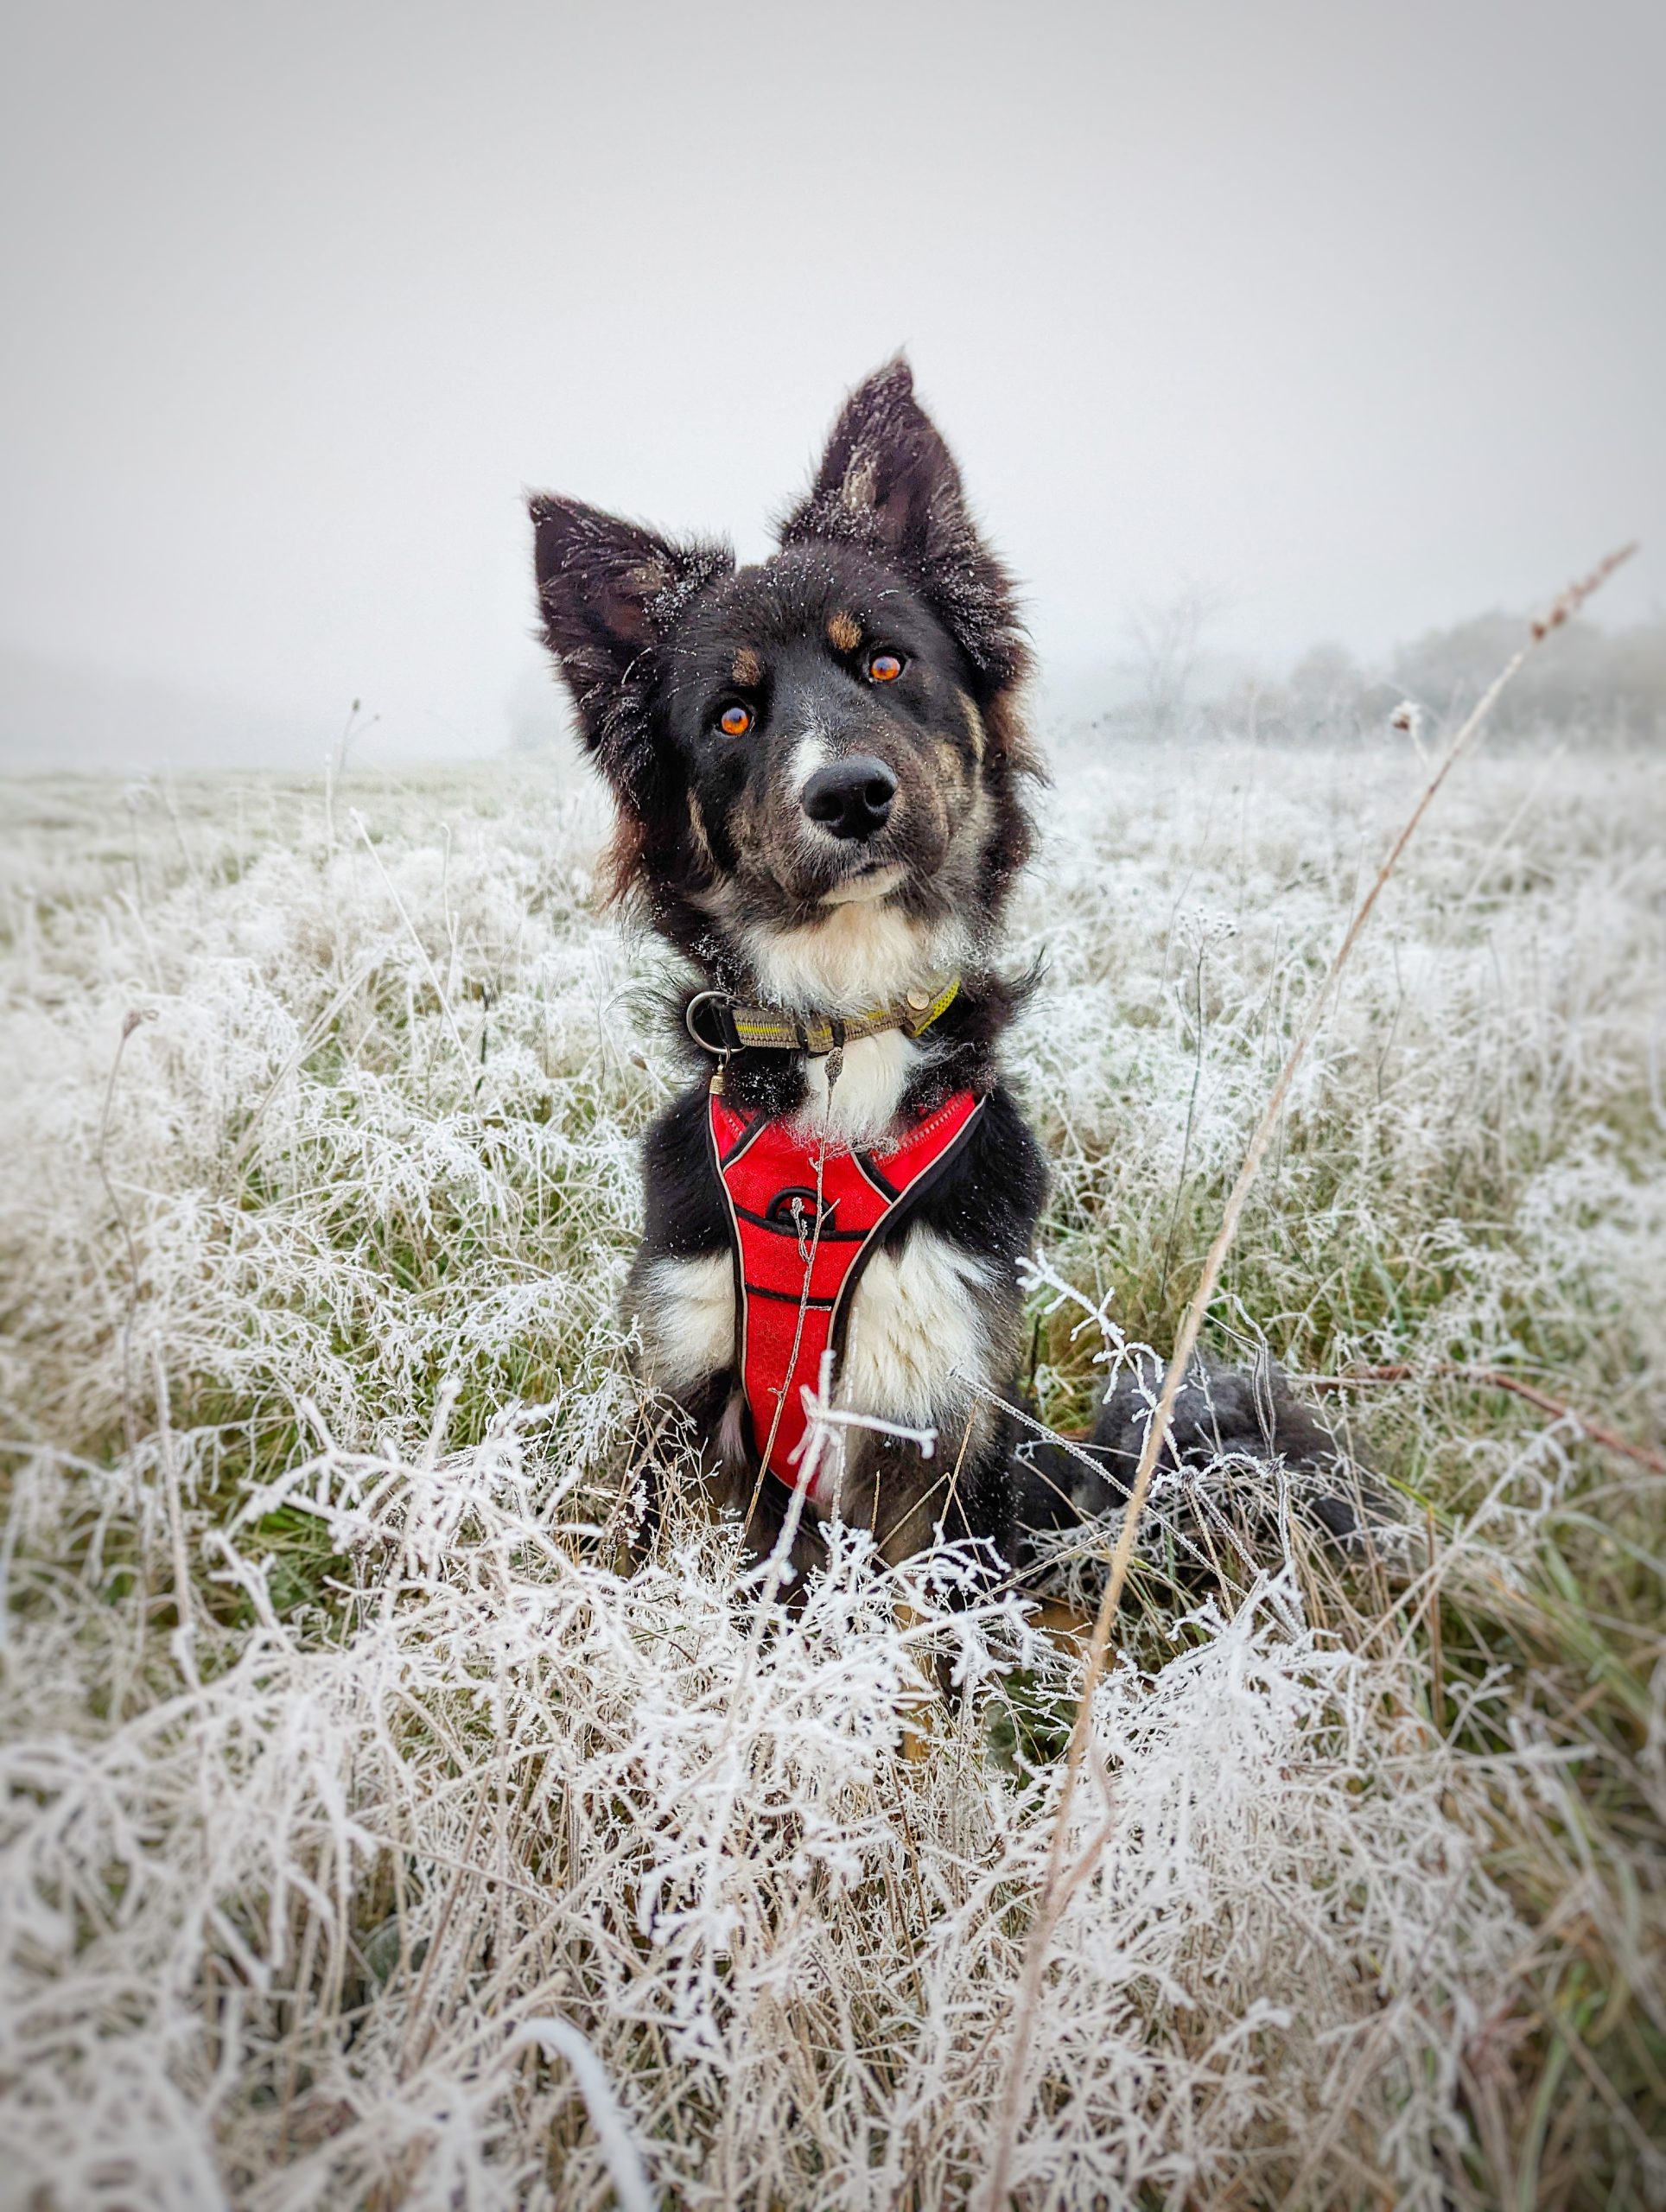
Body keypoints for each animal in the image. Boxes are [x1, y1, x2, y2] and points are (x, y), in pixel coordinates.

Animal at [533, 358, 1353, 1574]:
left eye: (884, 660)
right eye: (730, 715)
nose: (848, 795)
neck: (847, 1026)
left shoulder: (943, 1413)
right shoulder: (684, 1382)